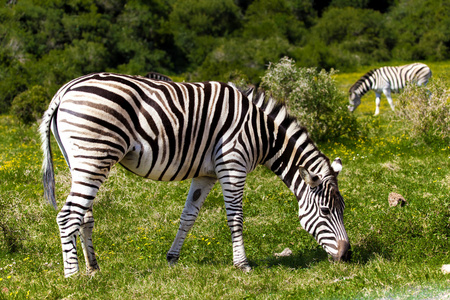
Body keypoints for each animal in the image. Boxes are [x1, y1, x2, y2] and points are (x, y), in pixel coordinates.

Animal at [40, 72, 352, 276]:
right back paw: (73, 278)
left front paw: (172, 258)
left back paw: (93, 269)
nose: (347, 255)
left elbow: (188, 216)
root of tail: (66, 89)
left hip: (81, 162)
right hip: (95, 156)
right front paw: (243, 264)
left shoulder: (207, 174)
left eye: (343, 209)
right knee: (68, 215)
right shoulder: (233, 164)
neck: (262, 134)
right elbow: (235, 217)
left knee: (84, 215)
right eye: (326, 211)